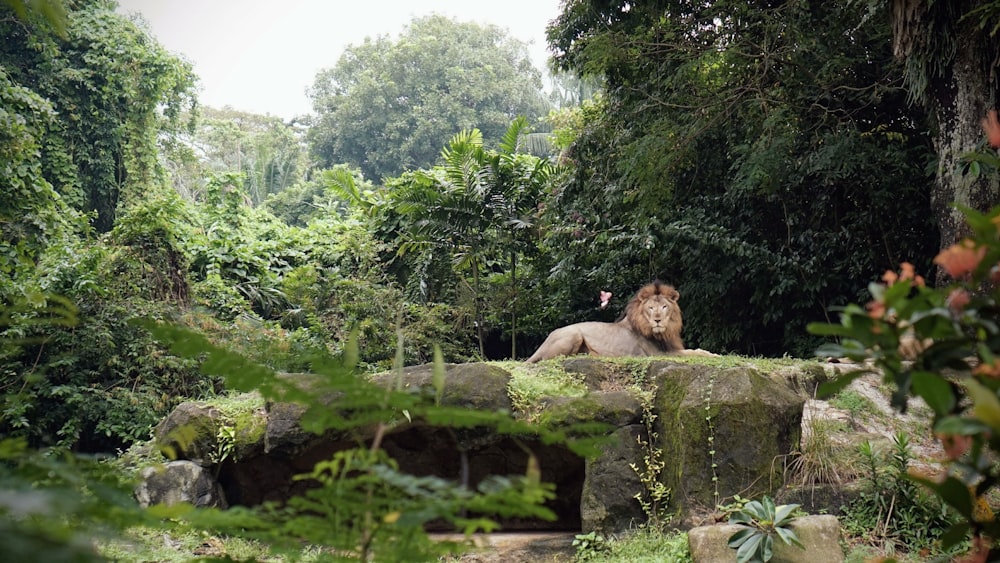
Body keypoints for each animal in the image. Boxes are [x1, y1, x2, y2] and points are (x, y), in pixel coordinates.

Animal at [524, 282, 712, 366]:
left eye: (664, 307)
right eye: (651, 308)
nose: (657, 320)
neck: (662, 333)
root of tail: (545, 341)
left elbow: (694, 350)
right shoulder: (658, 354)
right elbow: (693, 353)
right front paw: (713, 355)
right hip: (573, 334)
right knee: (549, 359)